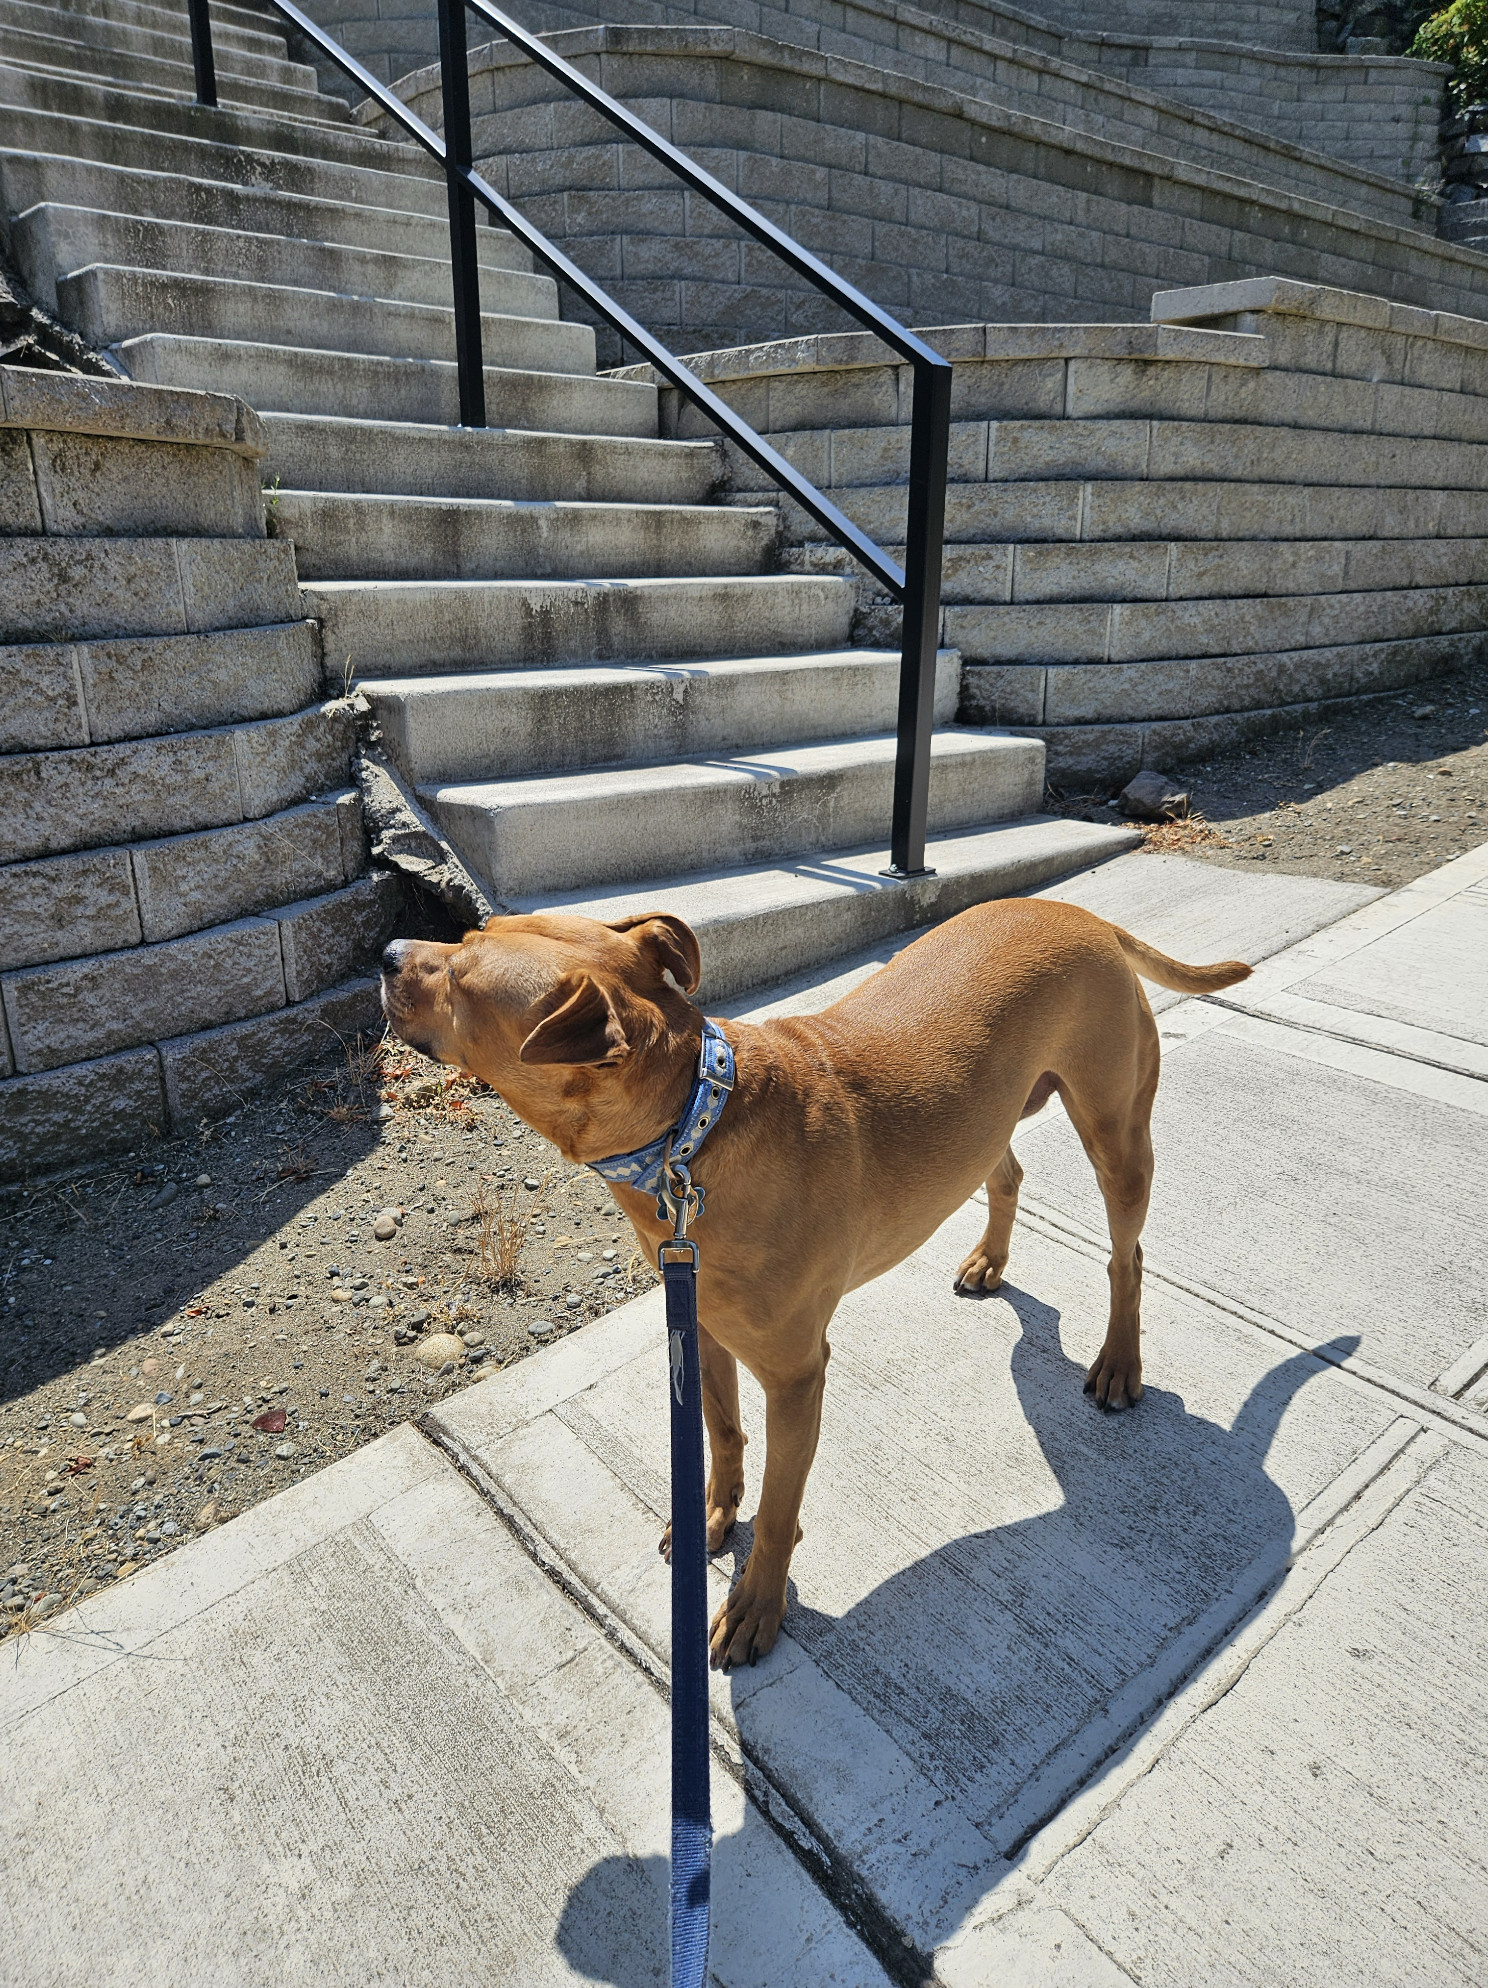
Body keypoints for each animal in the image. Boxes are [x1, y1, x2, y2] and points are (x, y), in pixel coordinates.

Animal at [379, 910, 1241, 1669]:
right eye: (468, 934)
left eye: (462, 978)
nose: (387, 953)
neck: (692, 1127)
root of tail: (1087, 917)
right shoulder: (703, 1327)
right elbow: (724, 1438)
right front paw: (713, 1515)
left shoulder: (796, 1377)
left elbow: (781, 1505)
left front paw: (756, 1604)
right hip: (986, 1119)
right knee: (1006, 1172)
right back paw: (990, 1260)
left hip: (1115, 1131)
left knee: (1126, 1257)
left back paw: (1119, 1361)